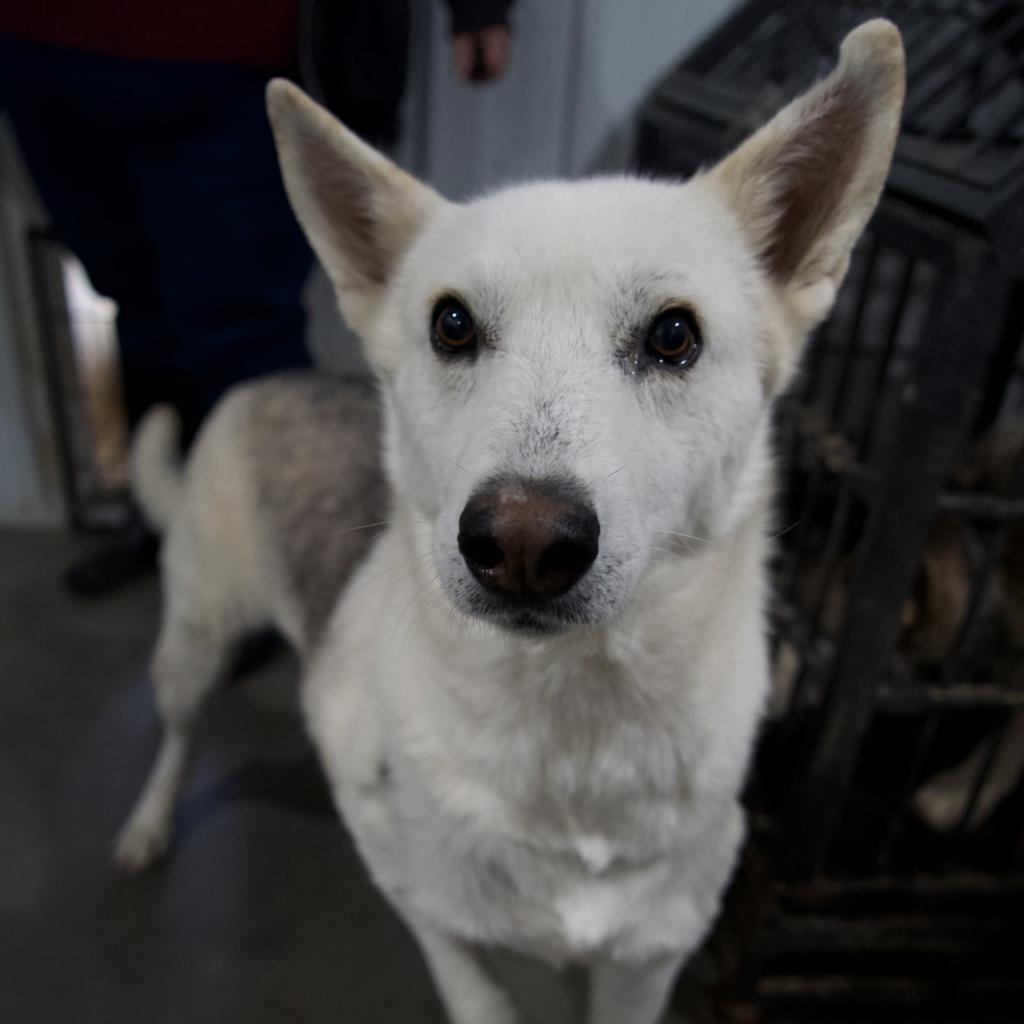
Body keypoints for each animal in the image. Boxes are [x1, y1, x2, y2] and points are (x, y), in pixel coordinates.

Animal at [116, 24, 905, 1024]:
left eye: (674, 336)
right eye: (452, 325)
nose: (523, 544)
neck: (573, 727)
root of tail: (263, 383)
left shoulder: (647, 962)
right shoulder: (432, 914)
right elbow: (478, 989)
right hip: (197, 636)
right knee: (177, 730)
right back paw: (146, 824)